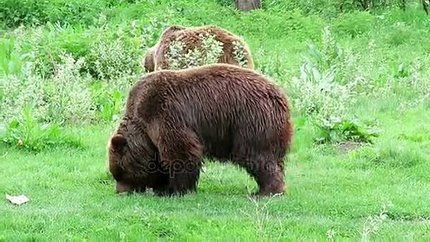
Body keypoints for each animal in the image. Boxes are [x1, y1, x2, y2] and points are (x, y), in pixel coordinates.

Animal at [109, 63, 294, 196]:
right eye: (115, 173)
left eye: (121, 173)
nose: (120, 191)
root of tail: (282, 96)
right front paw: (163, 186)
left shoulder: (165, 113)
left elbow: (182, 151)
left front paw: (175, 189)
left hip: (251, 120)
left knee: (256, 155)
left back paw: (267, 191)